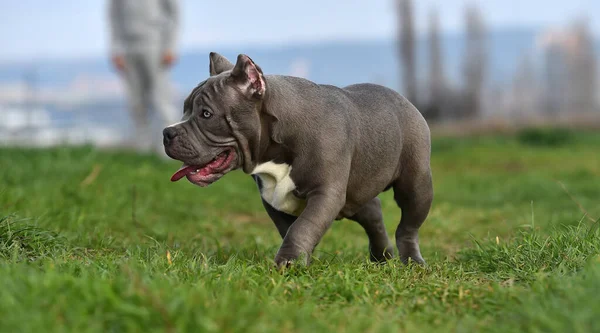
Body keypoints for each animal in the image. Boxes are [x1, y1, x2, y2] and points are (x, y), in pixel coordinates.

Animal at [162, 52, 434, 268]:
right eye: (185, 109)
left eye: (206, 114)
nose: (167, 132)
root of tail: (405, 100)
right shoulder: (273, 201)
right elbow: (292, 230)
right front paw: (300, 262)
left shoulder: (325, 194)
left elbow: (302, 227)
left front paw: (288, 263)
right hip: (355, 193)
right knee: (372, 211)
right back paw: (381, 258)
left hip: (415, 186)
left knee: (408, 226)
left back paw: (412, 262)